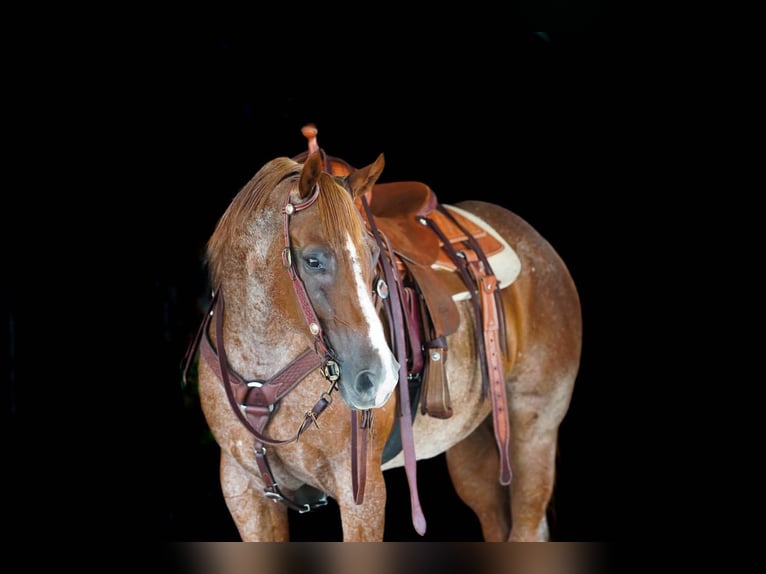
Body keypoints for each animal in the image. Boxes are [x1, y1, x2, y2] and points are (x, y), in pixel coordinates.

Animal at [183, 126, 582, 541]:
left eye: (374, 256)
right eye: (313, 260)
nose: (380, 379)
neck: (262, 371)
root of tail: (540, 247)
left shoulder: (362, 491)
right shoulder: (244, 492)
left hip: (535, 431)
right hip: (472, 447)